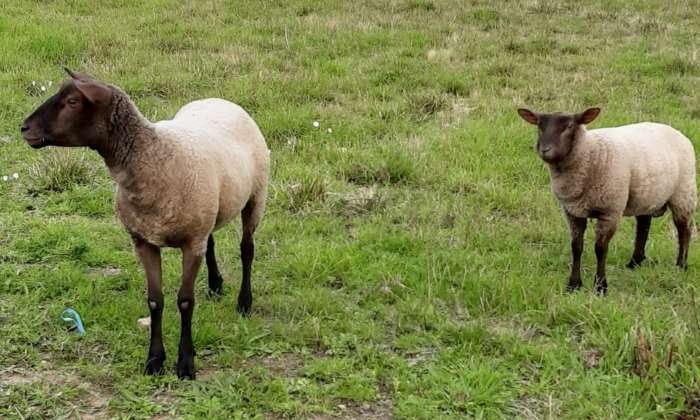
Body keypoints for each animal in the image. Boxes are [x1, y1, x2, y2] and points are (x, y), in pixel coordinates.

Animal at [21, 69, 269, 379]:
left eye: (72, 101)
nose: (24, 128)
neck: (153, 155)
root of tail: (218, 99)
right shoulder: (144, 241)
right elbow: (155, 300)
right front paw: (154, 360)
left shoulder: (190, 243)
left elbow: (185, 301)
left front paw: (185, 363)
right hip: (208, 210)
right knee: (211, 240)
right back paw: (215, 285)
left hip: (256, 196)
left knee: (247, 248)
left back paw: (244, 302)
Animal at [517, 107, 696, 294]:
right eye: (539, 126)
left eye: (570, 126)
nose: (544, 150)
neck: (589, 152)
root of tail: (674, 130)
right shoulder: (572, 212)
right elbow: (576, 247)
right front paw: (573, 285)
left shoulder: (610, 211)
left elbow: (601, 249)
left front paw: (601, 286)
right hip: (647, 195)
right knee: (644, 225)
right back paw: (634, 263)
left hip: (684, 192)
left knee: (684, 229)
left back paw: (681, 266)